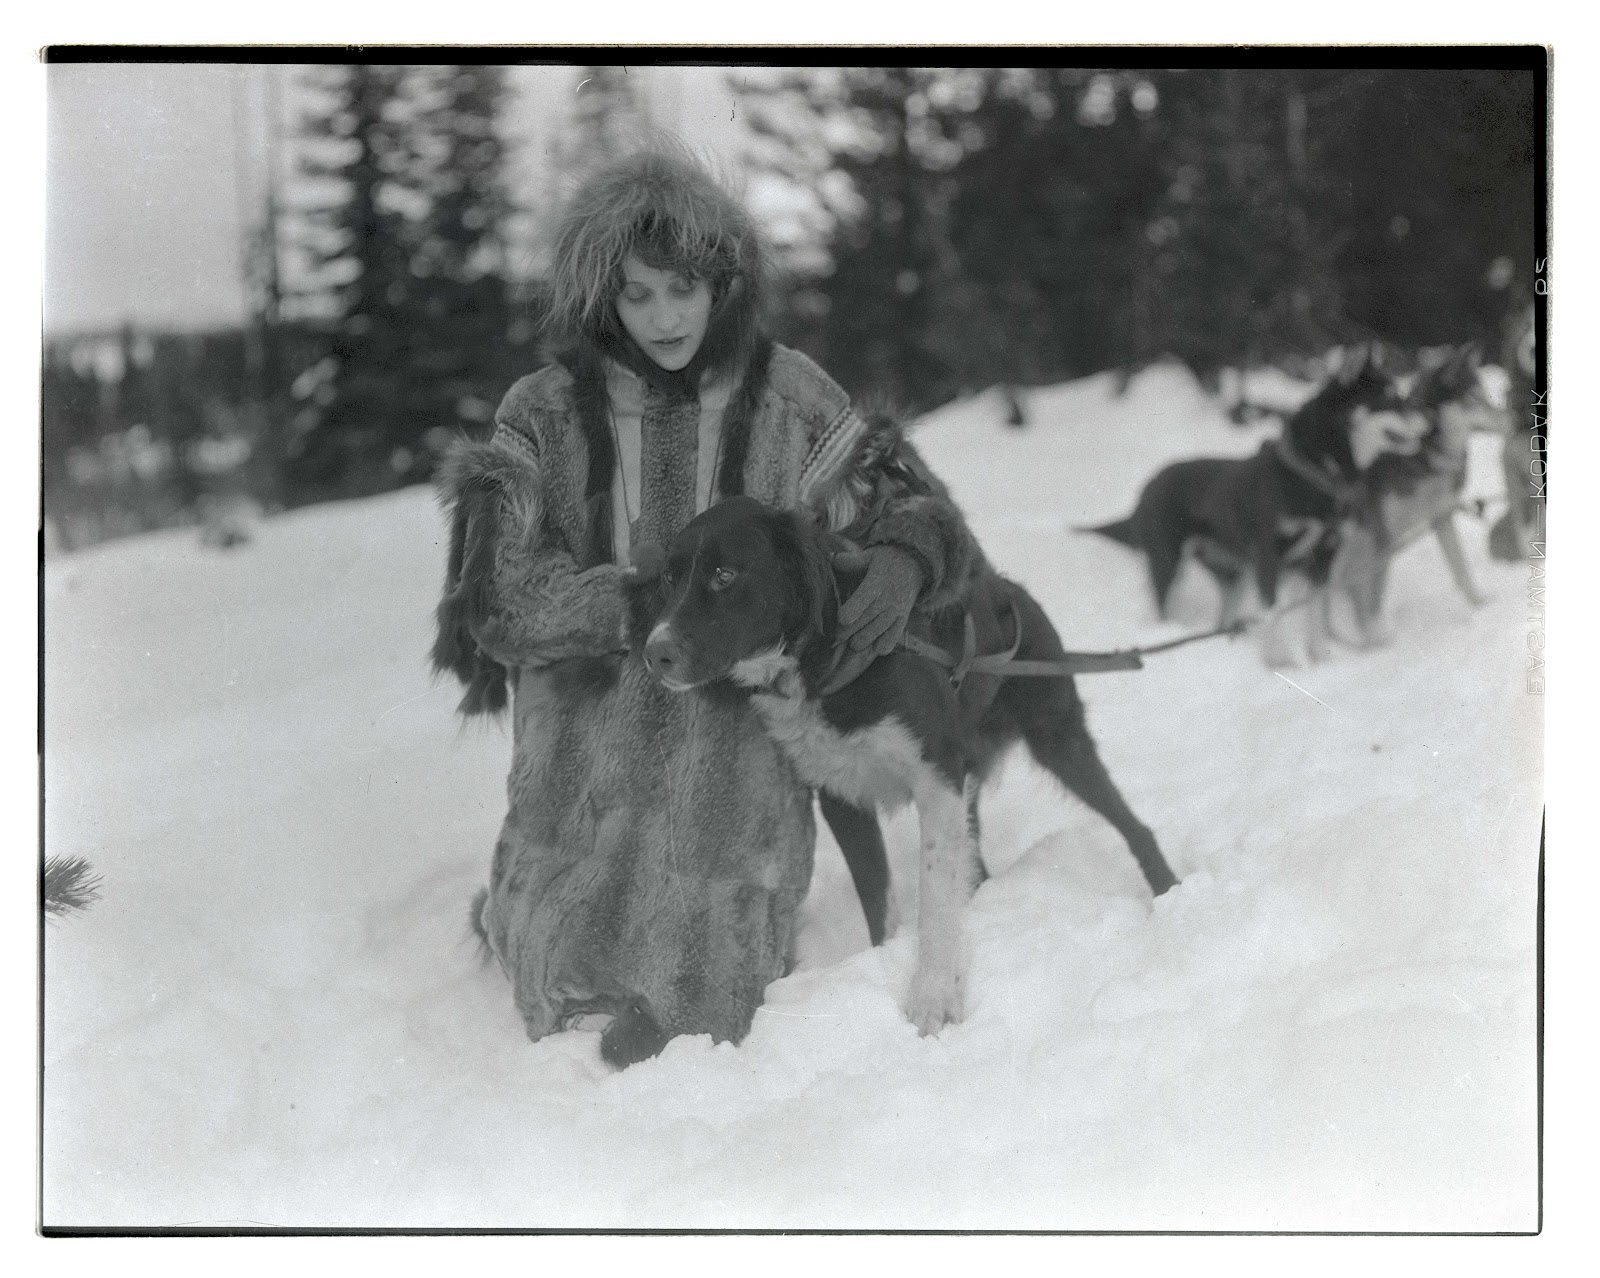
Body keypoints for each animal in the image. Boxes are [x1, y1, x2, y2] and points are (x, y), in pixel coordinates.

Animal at [624, 492, 1177, 1036]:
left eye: (725, 574)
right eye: (670, 577)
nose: (654, 654)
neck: (821, 663)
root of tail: (1010, 589)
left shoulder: (937, 779)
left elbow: (934, 900)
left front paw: (932, 1000)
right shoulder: (842, 797)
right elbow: (878, 900)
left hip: (1058, 739)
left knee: (1133, 826)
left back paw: (1168, 890)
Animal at [1088, 347, 1427, 668]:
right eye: (1388, 399)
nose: (1427, 429)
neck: (1315, 474)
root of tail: (1147, 486)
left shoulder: (1322, 557)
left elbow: (1316, 614)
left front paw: (1320, 659)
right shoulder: (1269, 553)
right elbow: (1274, 610)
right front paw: (1281, 661)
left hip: (1232, 573)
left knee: (1223, 617)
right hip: (1169, 563)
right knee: (1166, 607)